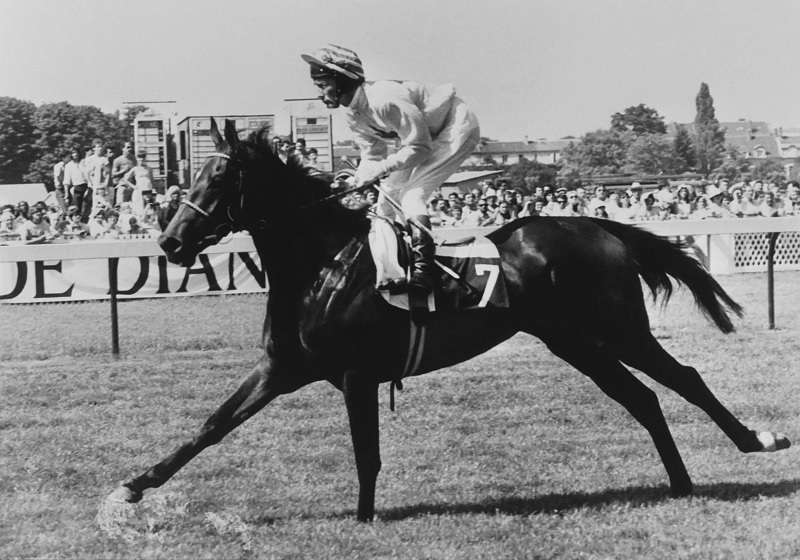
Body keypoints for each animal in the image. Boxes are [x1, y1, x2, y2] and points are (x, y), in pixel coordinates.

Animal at [109, 117, 792, 520]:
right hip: (578, 343)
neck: (322, 263)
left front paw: (365, 518)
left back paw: (756, 441)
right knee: (645, 398)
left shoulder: (356, 374)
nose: (169, 243)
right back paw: (681, 482)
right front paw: (133, 485)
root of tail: (599, 224)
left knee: (684, 380)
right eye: (196, 170)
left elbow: (365, 452)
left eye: (222, 174)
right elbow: (211, 426)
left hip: (617, 331)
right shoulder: (283, 367)